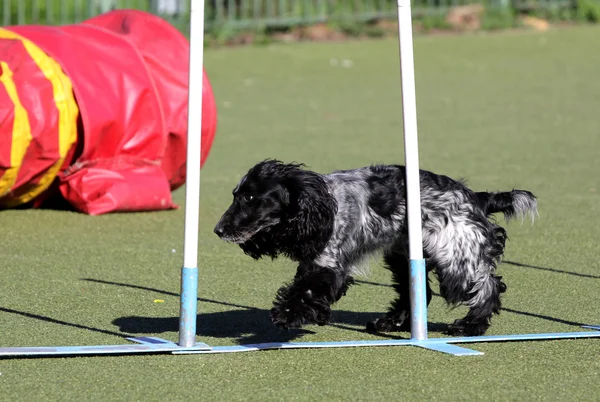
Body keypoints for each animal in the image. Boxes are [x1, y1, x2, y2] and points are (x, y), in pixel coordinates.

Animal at [213, 159, 536, 336]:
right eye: (237, 195)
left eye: (251, 198)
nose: (218, 230)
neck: (323, 203)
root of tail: (476, 197)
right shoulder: (319, 260)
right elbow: (311, 288)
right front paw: (314, 314)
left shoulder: (328, 262)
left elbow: (307, 289)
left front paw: (288, 314)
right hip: (404, 253)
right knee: (417, 291)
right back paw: (390, 322)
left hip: (455, 256)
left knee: (488, 287)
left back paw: (469, 326)